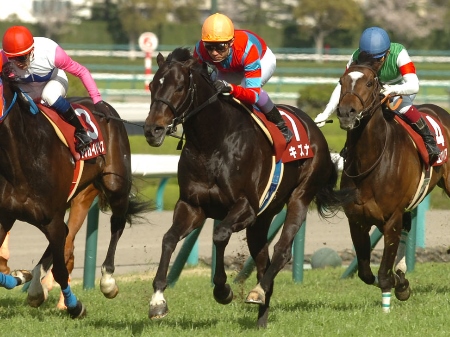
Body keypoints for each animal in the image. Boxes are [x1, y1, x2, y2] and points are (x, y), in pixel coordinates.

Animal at [0, 62, 151, 318]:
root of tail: (105, 109)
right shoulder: (7, 215)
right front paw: (21, 276)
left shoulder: (51, 216)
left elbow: (61, 269)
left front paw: (75, 306)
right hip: (79, 196)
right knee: (66, 237)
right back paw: (35, 286)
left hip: (114, 185)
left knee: (115, 224)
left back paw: (107, 281)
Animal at [144, 48, 356, 326]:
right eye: (151, 85)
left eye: (179, 87)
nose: (152, 130)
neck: (211, 143)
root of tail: (313, 127)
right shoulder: (192, 205)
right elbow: (168, 238)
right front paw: (157, 300)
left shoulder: (246, 207)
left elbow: (220, 234)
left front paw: (223, 290)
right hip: (262, 219)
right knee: (263, 259)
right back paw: (261, 318)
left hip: (300, 196)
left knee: (282, 251)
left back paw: (257, 292)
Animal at [340, 61, 450, 312]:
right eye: (341, 81)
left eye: (370, 83)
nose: (346, 112)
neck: (369, 160)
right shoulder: (357, 220)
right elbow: (365, 273)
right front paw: (401, 282)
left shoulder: (392, 218)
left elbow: (383, 273)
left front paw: (390, 299)